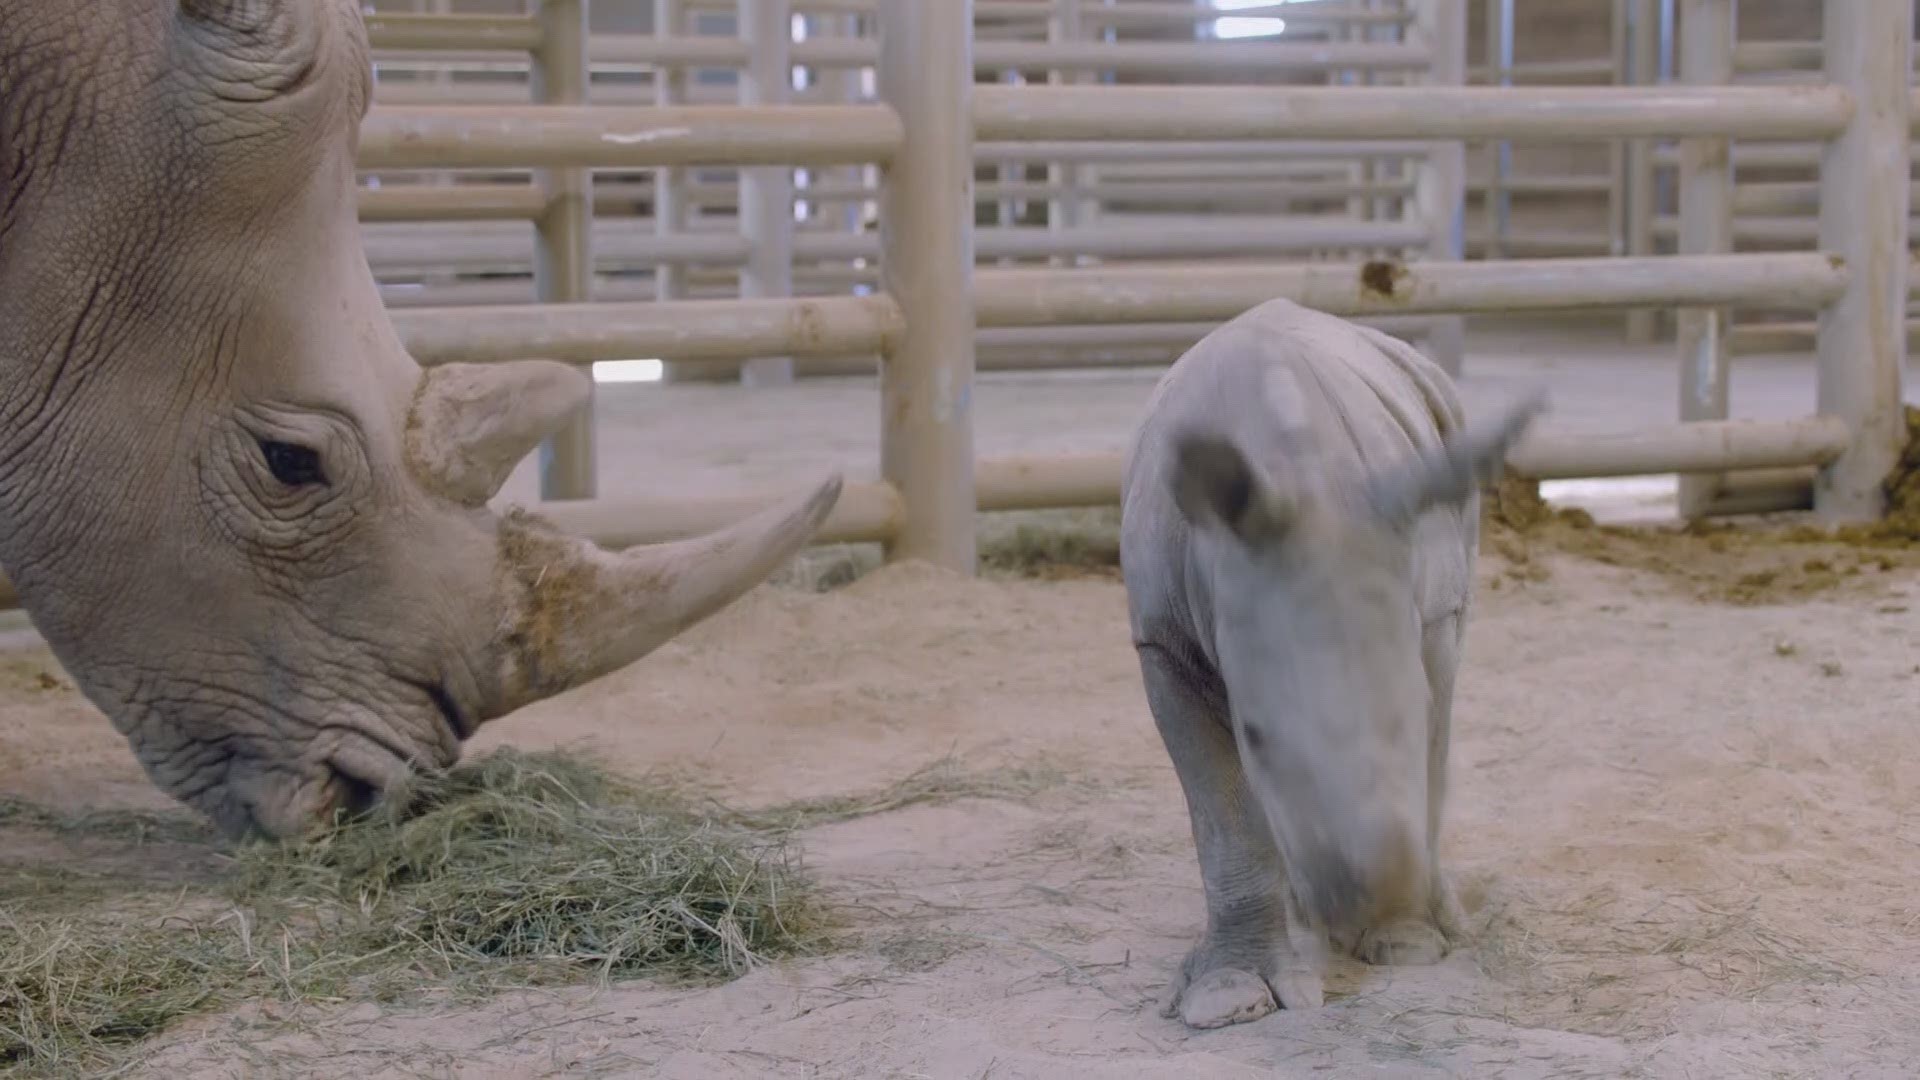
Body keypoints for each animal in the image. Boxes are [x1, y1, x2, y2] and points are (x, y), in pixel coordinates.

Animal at [1113, 297, 1543, 1022]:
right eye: (1257, 737)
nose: (1363, 896)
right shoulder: (1162, 640)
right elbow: (1225, 816)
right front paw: (1227, 997)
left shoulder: (1419, 599)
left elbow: (1428, 737)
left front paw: (1405, 941)